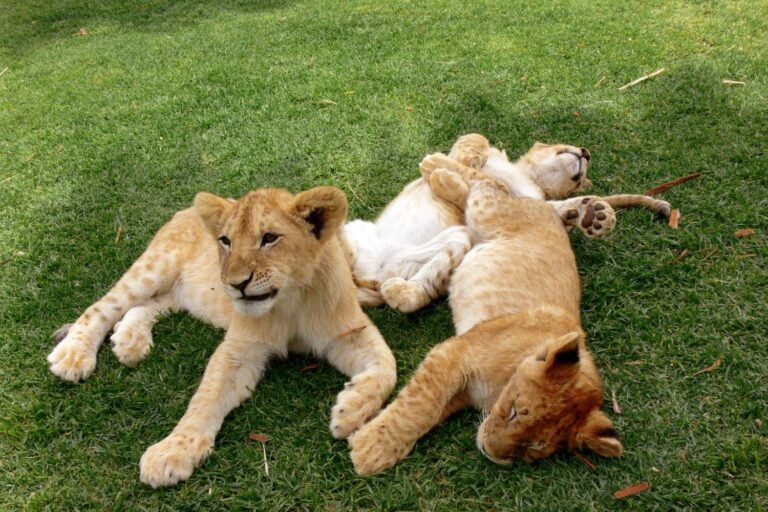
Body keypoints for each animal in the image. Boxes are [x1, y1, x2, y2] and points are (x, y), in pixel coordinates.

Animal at [47, 186, 396, 487]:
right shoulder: (239, 350)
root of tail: (187, 210)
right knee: (103, 306)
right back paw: (73, 355)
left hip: (179, 291)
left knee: (144, 306)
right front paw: (171, 452)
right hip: (154, 267)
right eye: (226, 241)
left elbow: (387, 366)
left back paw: (130, 340)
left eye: (270, 238)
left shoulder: (347, 331)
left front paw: (350, 410)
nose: (236, 283)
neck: (290, 301)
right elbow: (206, 398)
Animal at [348, 154, 624, 475]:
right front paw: (371, 450)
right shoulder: (453, 354)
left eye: (532, 448)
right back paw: (438, 168)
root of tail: (547, 209)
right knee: (488, 184)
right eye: (516, 410)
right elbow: (418, 406)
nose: (490, 451)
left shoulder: (461, 388)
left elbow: (429, 411)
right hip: (494, 212)